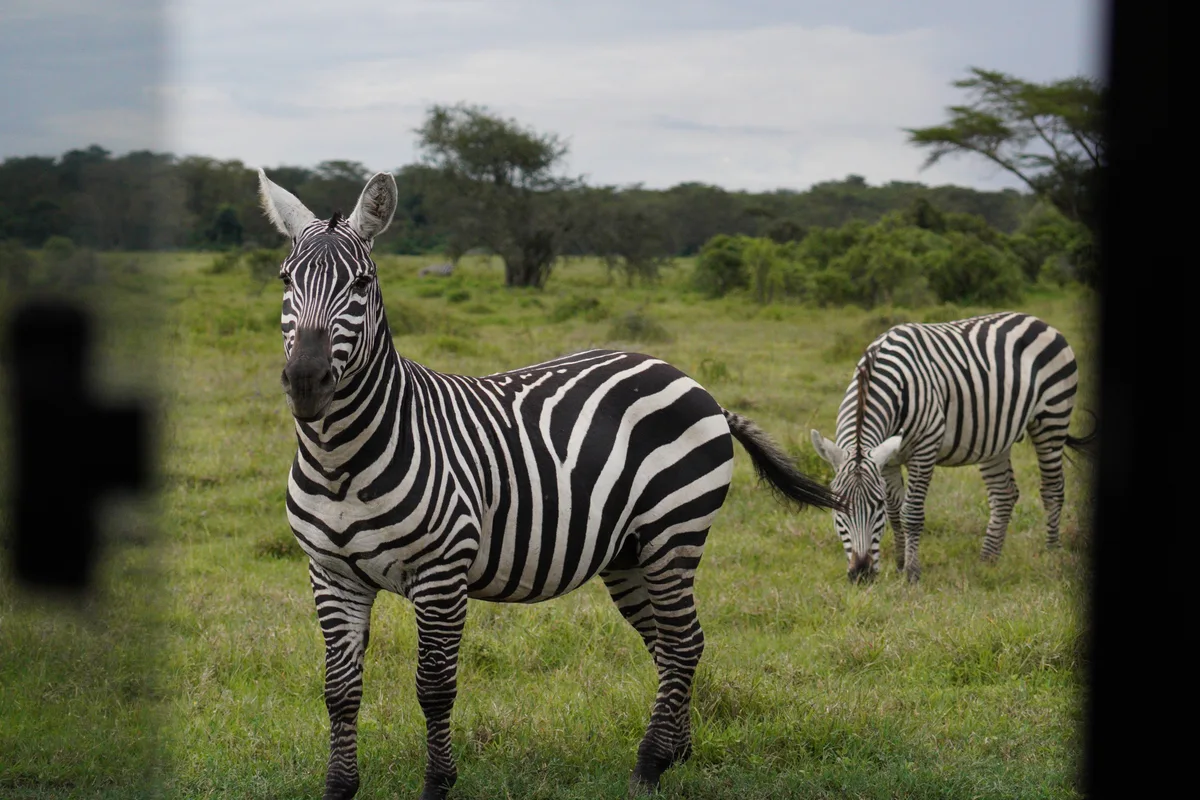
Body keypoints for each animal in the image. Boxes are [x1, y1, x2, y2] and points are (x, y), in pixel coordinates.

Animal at [257, 168, 843, 800]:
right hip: (629, 552)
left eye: (362, 282)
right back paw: (675, 751)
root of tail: (692, 382)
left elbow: (434, 688)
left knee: (684, 642)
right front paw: (339, 788)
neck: (340, 459)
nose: (307, 382)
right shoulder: (331, 574)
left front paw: (438, 784)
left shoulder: (442, 573)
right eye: (285, 279)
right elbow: (339, 693)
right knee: (669, 644)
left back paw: (648, 765)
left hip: (674, 531)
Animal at [809, 312, 1095, 584]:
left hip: (1053, 417)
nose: (862, 574)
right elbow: (895, 513)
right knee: (1003, 494)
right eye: (837, 506)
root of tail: (1038, 320)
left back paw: (1052, 552)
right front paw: (900, 564)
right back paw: (987, 560)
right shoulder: (888, 460)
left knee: (1053, 488)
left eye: (876, 505)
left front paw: (912, 573)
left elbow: (910, 513)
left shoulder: (925, 448)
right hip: (995, 436)